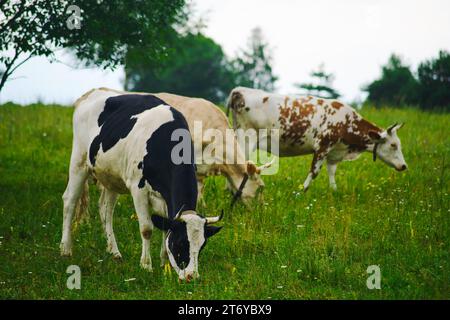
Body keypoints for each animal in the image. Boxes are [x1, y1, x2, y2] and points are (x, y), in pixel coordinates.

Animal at [61, 90, 223, 280]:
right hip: (79, 162)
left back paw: (114, 252)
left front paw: (164, 264)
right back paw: (65, 249)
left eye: (202, 246)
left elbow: (165, 228)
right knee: (69, 200)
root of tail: (91, 93)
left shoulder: (165, 198)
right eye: (181, 243)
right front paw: (146, 265)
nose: (192, 276)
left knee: (105, 210)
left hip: (111, 177)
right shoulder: (138, 190)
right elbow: (146, 228)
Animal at [229, 86, 408, 191]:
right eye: (393, 145)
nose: (404, 166)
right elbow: (314, 172)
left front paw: (334, 191)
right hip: (247, 139)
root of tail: (239, 90)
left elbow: (332, 172)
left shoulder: (334, 152)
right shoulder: (322, 147)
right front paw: (301, 191)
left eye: (399, 144)